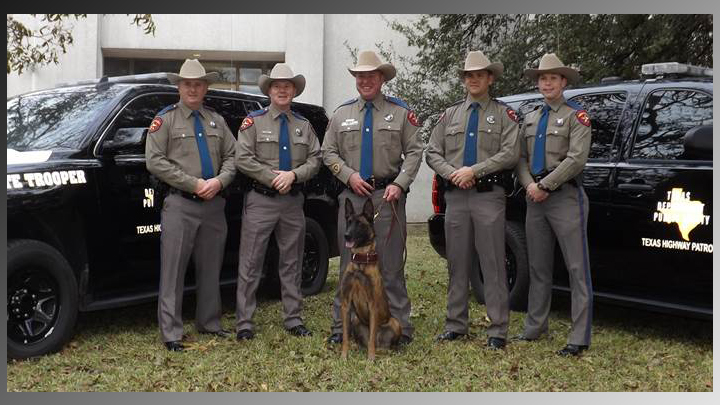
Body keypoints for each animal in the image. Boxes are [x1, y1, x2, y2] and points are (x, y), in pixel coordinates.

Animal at [340, 197, 402, 358]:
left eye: (360, 224)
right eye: (348, 221)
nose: (346, 235)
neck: (361, 262)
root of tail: (382, 345)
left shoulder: (373, 305)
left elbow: (372, 338)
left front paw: (371, 358)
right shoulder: (346, 304)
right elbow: (345, 335)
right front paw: (344, 355)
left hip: (395, 322)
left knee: (380, 340)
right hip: (356, 320)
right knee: (366, 340)